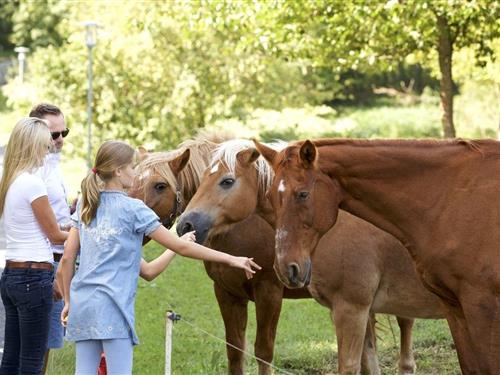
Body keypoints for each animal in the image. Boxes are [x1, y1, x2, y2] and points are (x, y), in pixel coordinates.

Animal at [256, 139, 500, 375]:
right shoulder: (453, 307)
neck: (451, 198)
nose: (285, 268)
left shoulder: (482, 307)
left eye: (303, 194)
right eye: (270, 196)